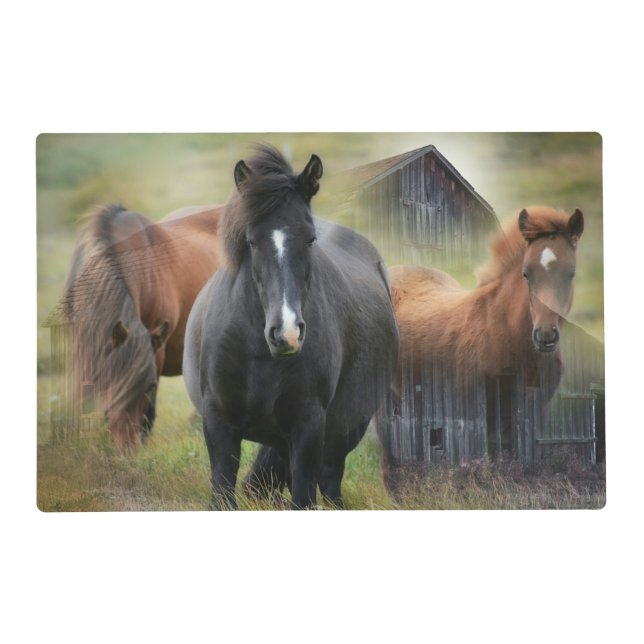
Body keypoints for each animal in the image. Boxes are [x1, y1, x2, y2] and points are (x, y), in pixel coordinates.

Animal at [183, 145, 399, 509]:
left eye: (310, 239)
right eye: (251, 241)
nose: (287, 334)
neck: (259, 353)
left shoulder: (309, 426)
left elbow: (303, 495)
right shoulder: (218, 422)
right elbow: (223, 492)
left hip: (345, 431)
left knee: (330, 482)